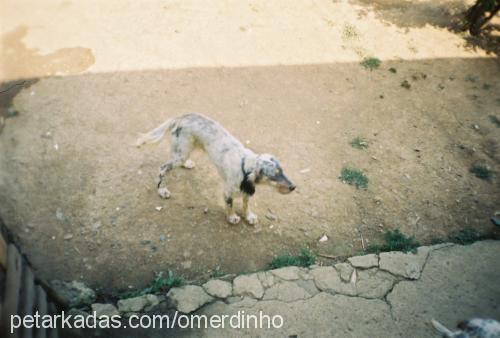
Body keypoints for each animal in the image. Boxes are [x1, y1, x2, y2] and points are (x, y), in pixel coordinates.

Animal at [135, 113, 294, 224]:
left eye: (282, 171)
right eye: (274, 176)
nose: (294, 187)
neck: (244, 164)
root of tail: (181, 117)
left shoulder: (247, 190)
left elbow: (246, 204)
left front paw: (249, 216)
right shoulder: (228, 192)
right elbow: (230, 205)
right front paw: (232, 217)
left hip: (184, 151)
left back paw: (187, 164)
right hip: (180, 153)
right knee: (162, 169)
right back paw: (162, 190)